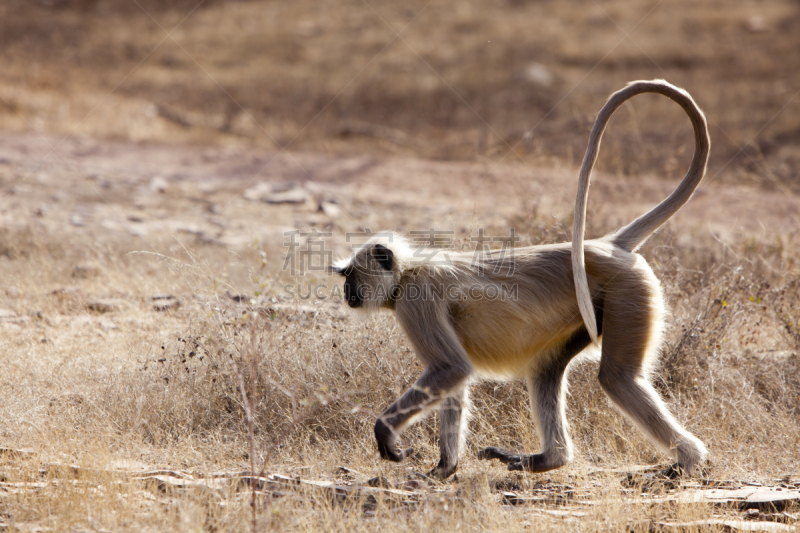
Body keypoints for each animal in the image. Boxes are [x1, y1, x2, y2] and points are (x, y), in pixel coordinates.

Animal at [334, 81, 708, 480]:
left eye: (351, 275)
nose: (346, 292)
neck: (408, 271)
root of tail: (606, 244)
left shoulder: (415, 300)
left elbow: (451, 368)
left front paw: (387, 433)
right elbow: (454, 379)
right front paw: (445, 468)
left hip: (629, 292)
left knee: (617, 377)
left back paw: (687, 460)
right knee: (546, 370)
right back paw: (549, 459)